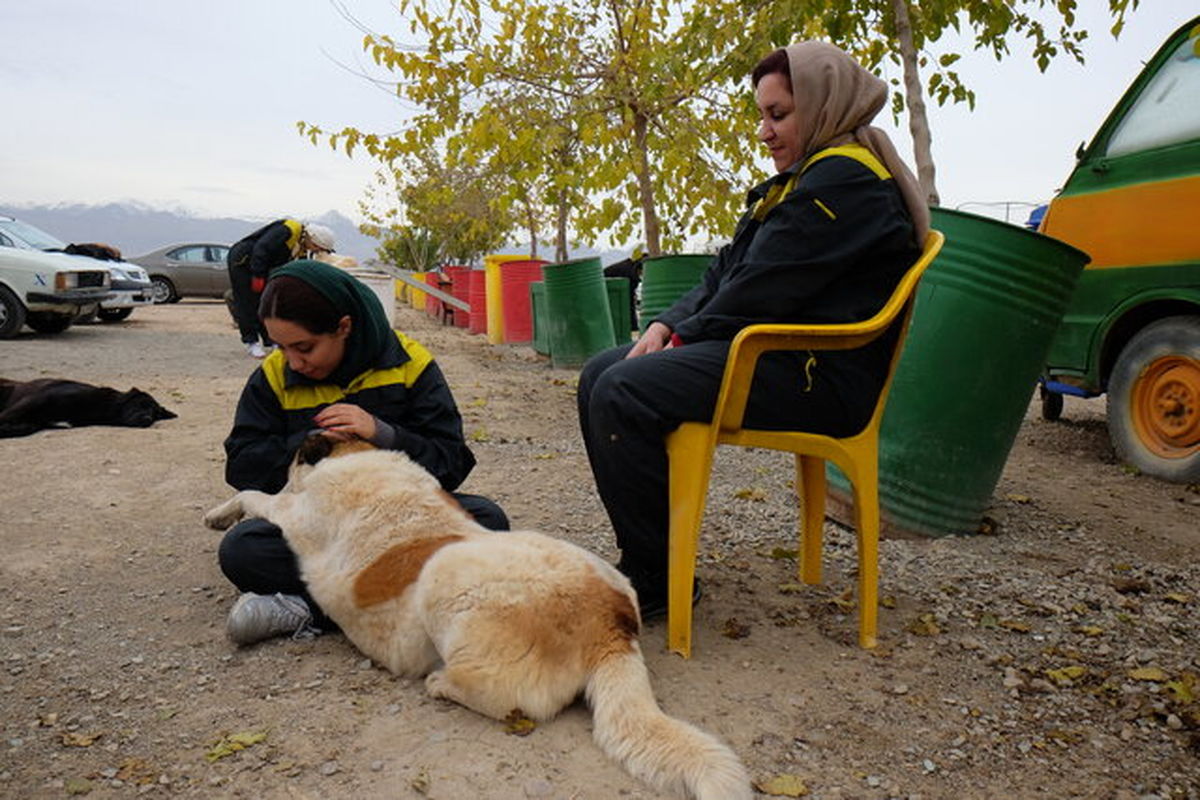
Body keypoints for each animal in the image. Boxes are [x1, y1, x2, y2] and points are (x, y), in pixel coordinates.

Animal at [206, 438, 748, 800]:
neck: (355, 458)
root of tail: (610, 624)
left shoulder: (296, 514)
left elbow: (256, 495)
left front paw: (220, 513)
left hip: (445, 578)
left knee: (503, 696)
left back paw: (442, 683)